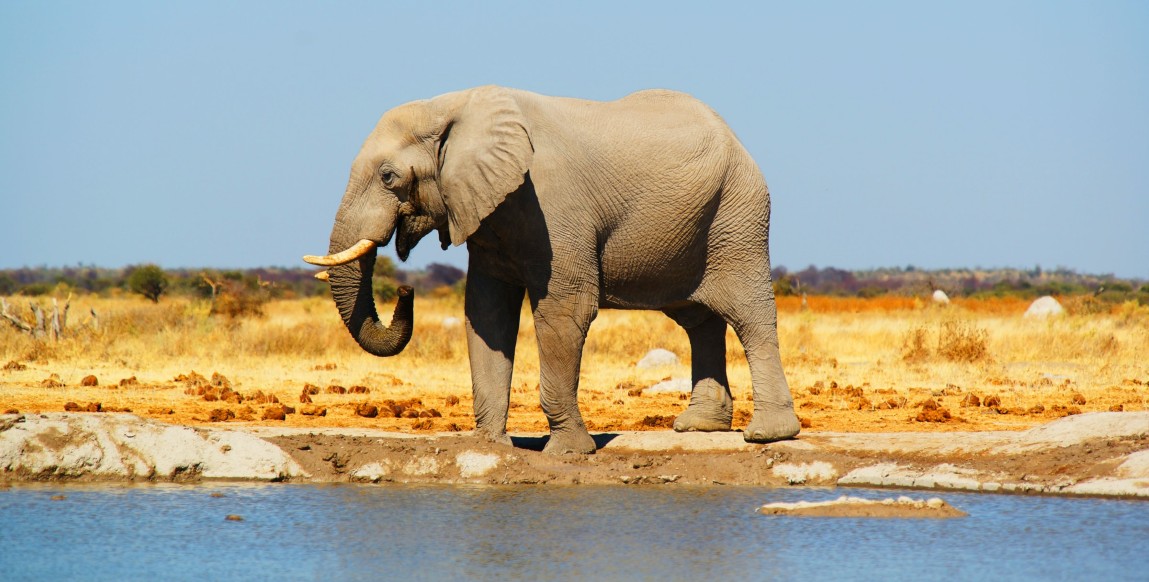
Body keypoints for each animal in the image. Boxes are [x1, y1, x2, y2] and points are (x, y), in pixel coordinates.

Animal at [310, 85, 804, 454]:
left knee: (750, 315)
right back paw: (698, 427)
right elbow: (487, 313)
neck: (453, 106)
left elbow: (564, 312)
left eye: (388, 177)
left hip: (738, 216)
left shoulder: (552, 205)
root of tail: (736, 138)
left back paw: (768, 435)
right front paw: (491, 446)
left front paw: (568, 452)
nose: (405, 290)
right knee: (699, 321)